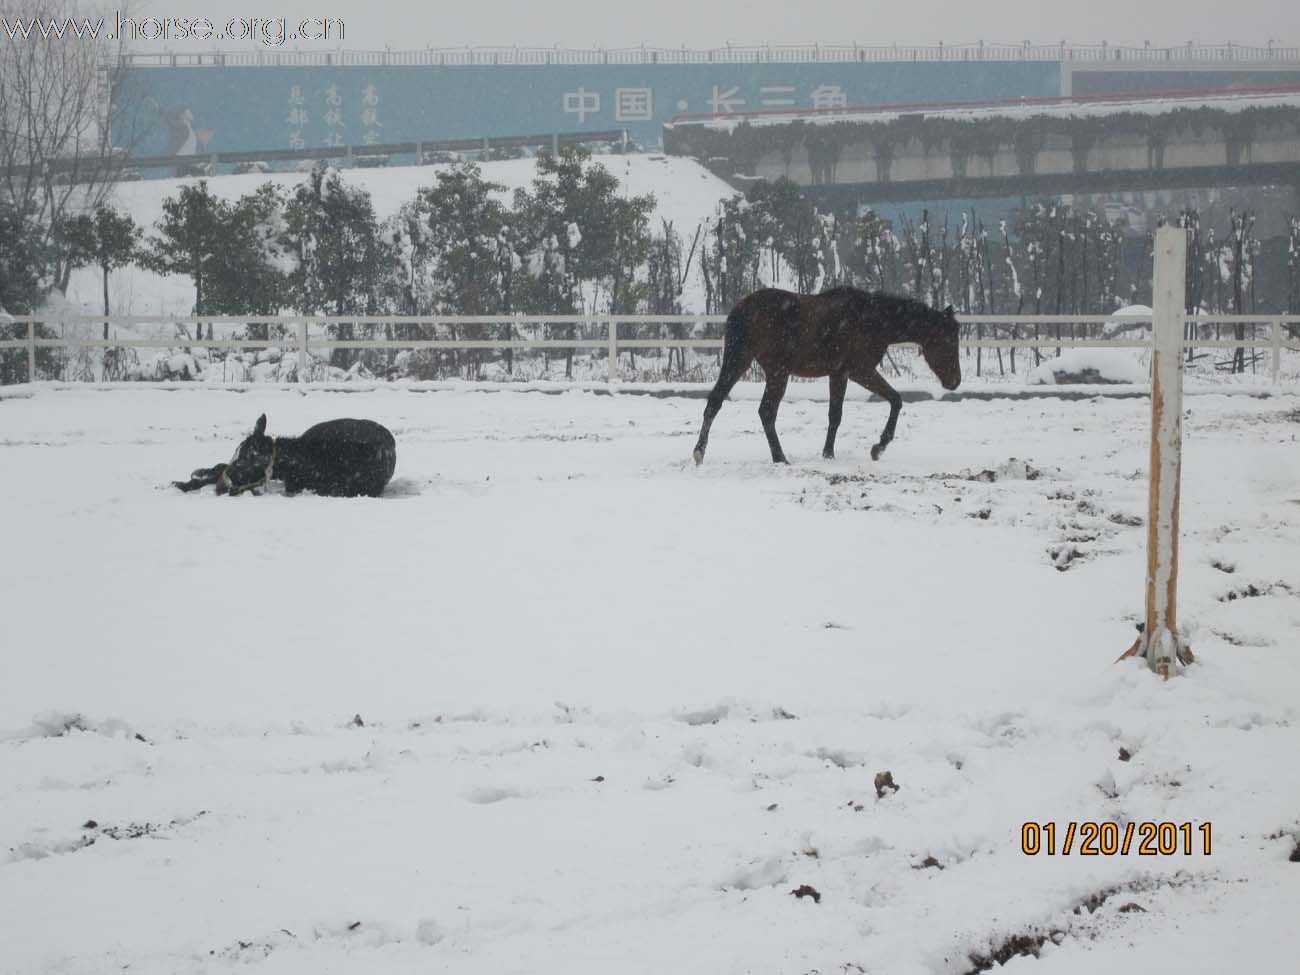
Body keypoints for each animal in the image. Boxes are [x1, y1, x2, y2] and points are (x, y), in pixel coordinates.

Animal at [696, 286, 961, 465]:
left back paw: (699, 452)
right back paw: (780, 458)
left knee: (715, 402)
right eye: (948, 342)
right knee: (766, 412)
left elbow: (835, 415)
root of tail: (741, 310)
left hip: (738, 361)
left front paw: (828, 454)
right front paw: (878, 447)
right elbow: (895, 400)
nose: (955, 381)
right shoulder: (859, 371)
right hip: (776, 373)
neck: (872, 319)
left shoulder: (838, 375)